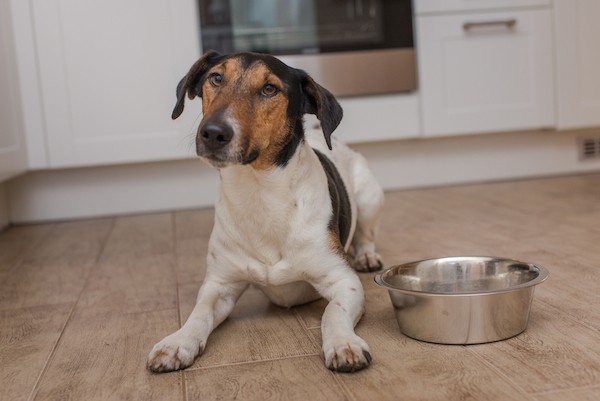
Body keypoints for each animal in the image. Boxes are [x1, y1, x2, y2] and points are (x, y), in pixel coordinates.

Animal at [148, 50, 386, 372]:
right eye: (216, 78)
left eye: (270, 89)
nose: (213, 133)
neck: (260, 193)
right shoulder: (219, 284)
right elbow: (199, 313)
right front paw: (177, 342)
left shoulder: (343, 281)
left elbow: (333, 312)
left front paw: (344, 343)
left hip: (369, 197)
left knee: (366, 234)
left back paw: (367, 256)